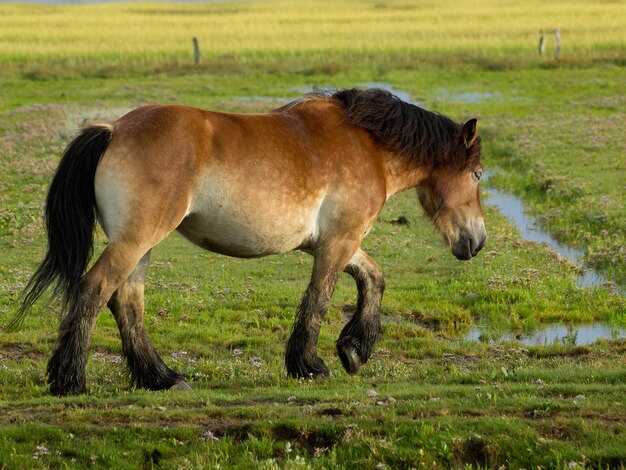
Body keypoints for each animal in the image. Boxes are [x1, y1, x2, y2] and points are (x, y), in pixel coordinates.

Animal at [12, 86, 486, 394]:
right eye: (478, 175)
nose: (477, 242)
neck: (367, 145)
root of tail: (113, 130)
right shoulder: (338, 242)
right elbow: (319, 299)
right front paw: (310, 366)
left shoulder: (337, 242)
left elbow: (374, 279)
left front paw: (354, 350)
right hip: (135, 240)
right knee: (95, 290)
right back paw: (71, 381)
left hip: (139, 245)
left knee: (127, 301)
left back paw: (161, 378)